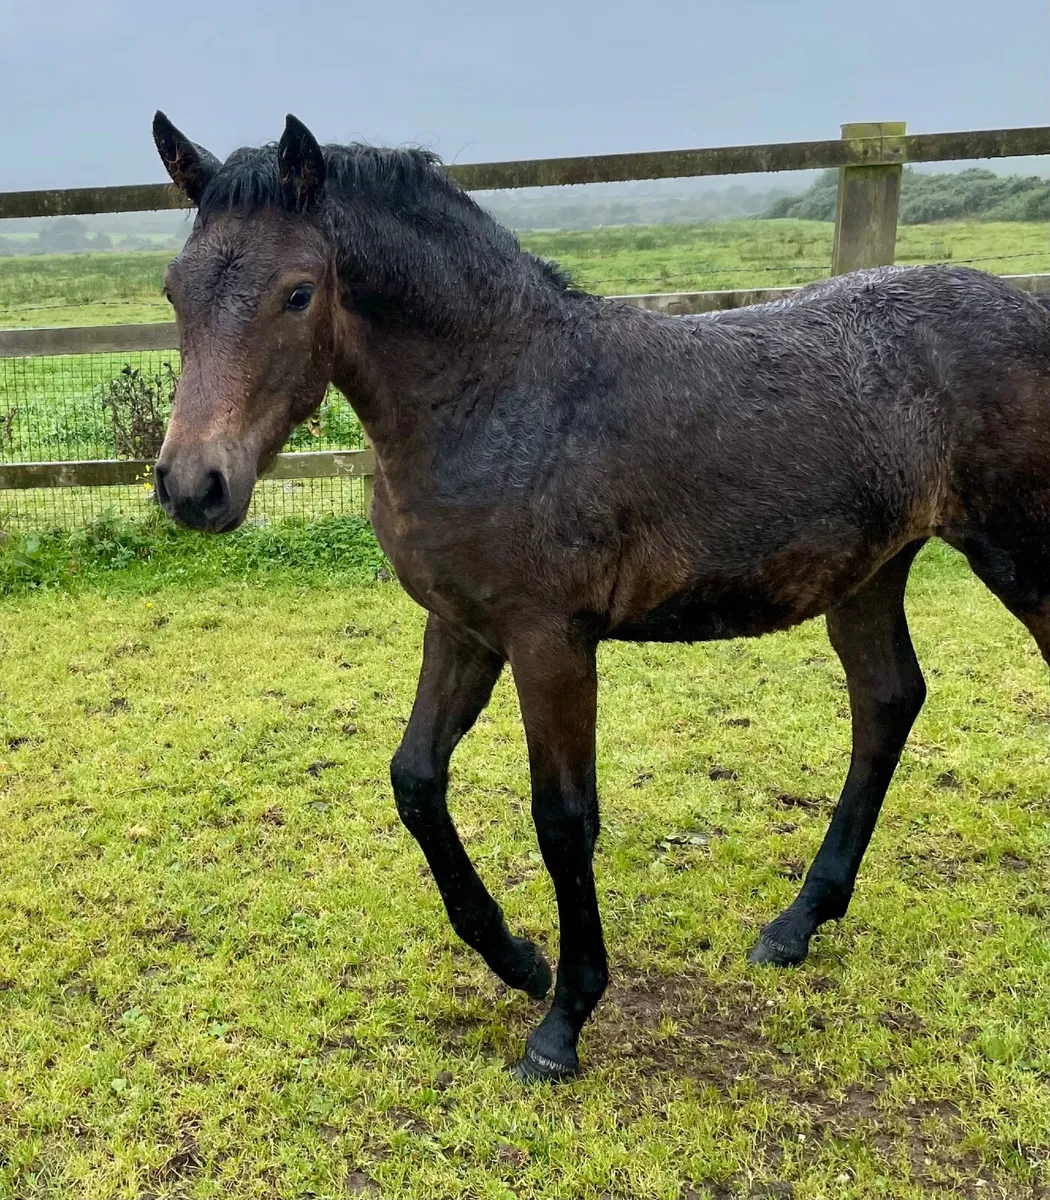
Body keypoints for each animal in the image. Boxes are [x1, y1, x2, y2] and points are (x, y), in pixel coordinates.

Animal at [150, 111, 1050, 1082]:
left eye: (298, 293)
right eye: (173, 291)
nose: (193, 486)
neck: (499, 398)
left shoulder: (552, 642)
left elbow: (563, 819)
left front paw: (563, 1023)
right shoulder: (463, 626)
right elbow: (416, 780)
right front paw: (516, 958)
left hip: (1020, 555)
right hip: (870, 571)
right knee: (886, 701)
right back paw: (796, 924)